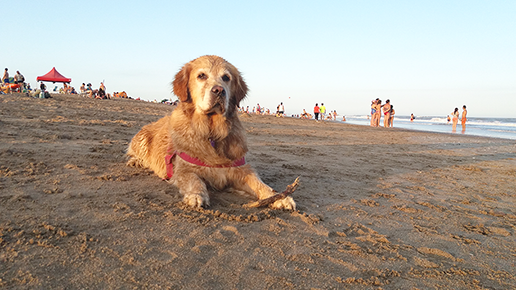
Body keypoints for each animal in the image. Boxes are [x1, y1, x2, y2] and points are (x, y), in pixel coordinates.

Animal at [126, 56, 294, 211]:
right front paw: (196, 195)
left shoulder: (240, 169)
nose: (219, 90)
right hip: (141, 138)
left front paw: (279, 197)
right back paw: (136, 161)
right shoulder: (183, 169)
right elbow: (194, 179)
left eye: (226, 77)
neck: (212, 132)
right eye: (201, 76)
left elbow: (260, 184)